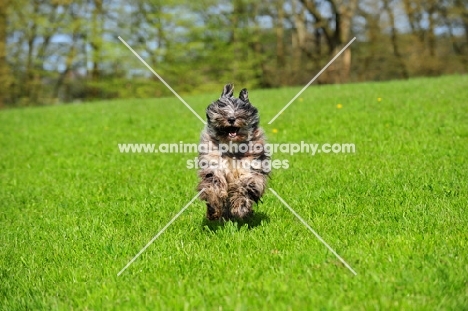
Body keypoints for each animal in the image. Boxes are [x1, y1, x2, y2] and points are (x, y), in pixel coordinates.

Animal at [197, 84, 270, 221]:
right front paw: (213, 207)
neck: (232, 149)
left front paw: (240, 206)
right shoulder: (214, 165)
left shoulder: (251, 167)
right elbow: (214, 185)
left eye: (241, 110)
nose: (231, 118)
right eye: (222, 110)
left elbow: (244, 186)